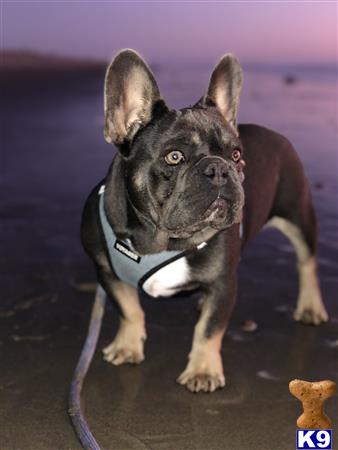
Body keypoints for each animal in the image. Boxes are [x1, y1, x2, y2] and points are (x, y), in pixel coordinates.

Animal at [82, 50, 328, 394]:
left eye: (236, 155)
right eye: (174, 157)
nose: (219, 169)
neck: (163, 240)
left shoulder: (223, 282)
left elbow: (209, 329)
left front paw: (202, 371)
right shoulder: (107, 272)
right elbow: (129, 309)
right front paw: (127, 346)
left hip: (297, 214)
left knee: (307, 261)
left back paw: (310, 307)